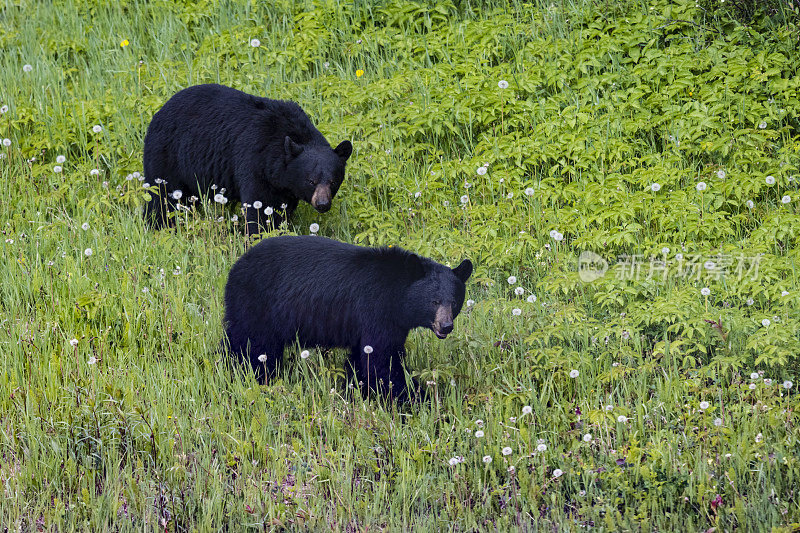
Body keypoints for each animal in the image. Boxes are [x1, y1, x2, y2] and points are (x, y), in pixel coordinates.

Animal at [141, 83, 354, 233]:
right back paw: (158, 225)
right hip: (168, 155)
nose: (323, 204)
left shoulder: (284, 185)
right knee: (162, 196)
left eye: (333, 181)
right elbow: (261, 207)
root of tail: (160, 111)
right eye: (311, 180)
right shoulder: (255, 161)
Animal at [223, 235, 476, 402]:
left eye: (454, 301)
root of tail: (237, 265)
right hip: (256, 303)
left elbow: (362, 358)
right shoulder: (376, 310)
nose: (446, 326)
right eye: (434, 301)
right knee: (250, 344)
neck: (397, 294)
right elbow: (383, 360)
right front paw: (417, 398)